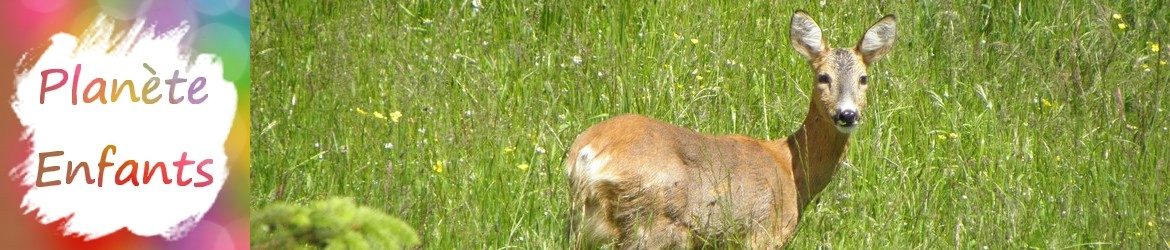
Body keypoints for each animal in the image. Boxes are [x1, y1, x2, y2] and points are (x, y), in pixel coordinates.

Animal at [566, 11, 893, 247]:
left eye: (863, 78)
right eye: (823, 77)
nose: (847, 114)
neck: (792, 171)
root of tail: (586, 154)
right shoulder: (763, 233)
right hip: (649, 221)